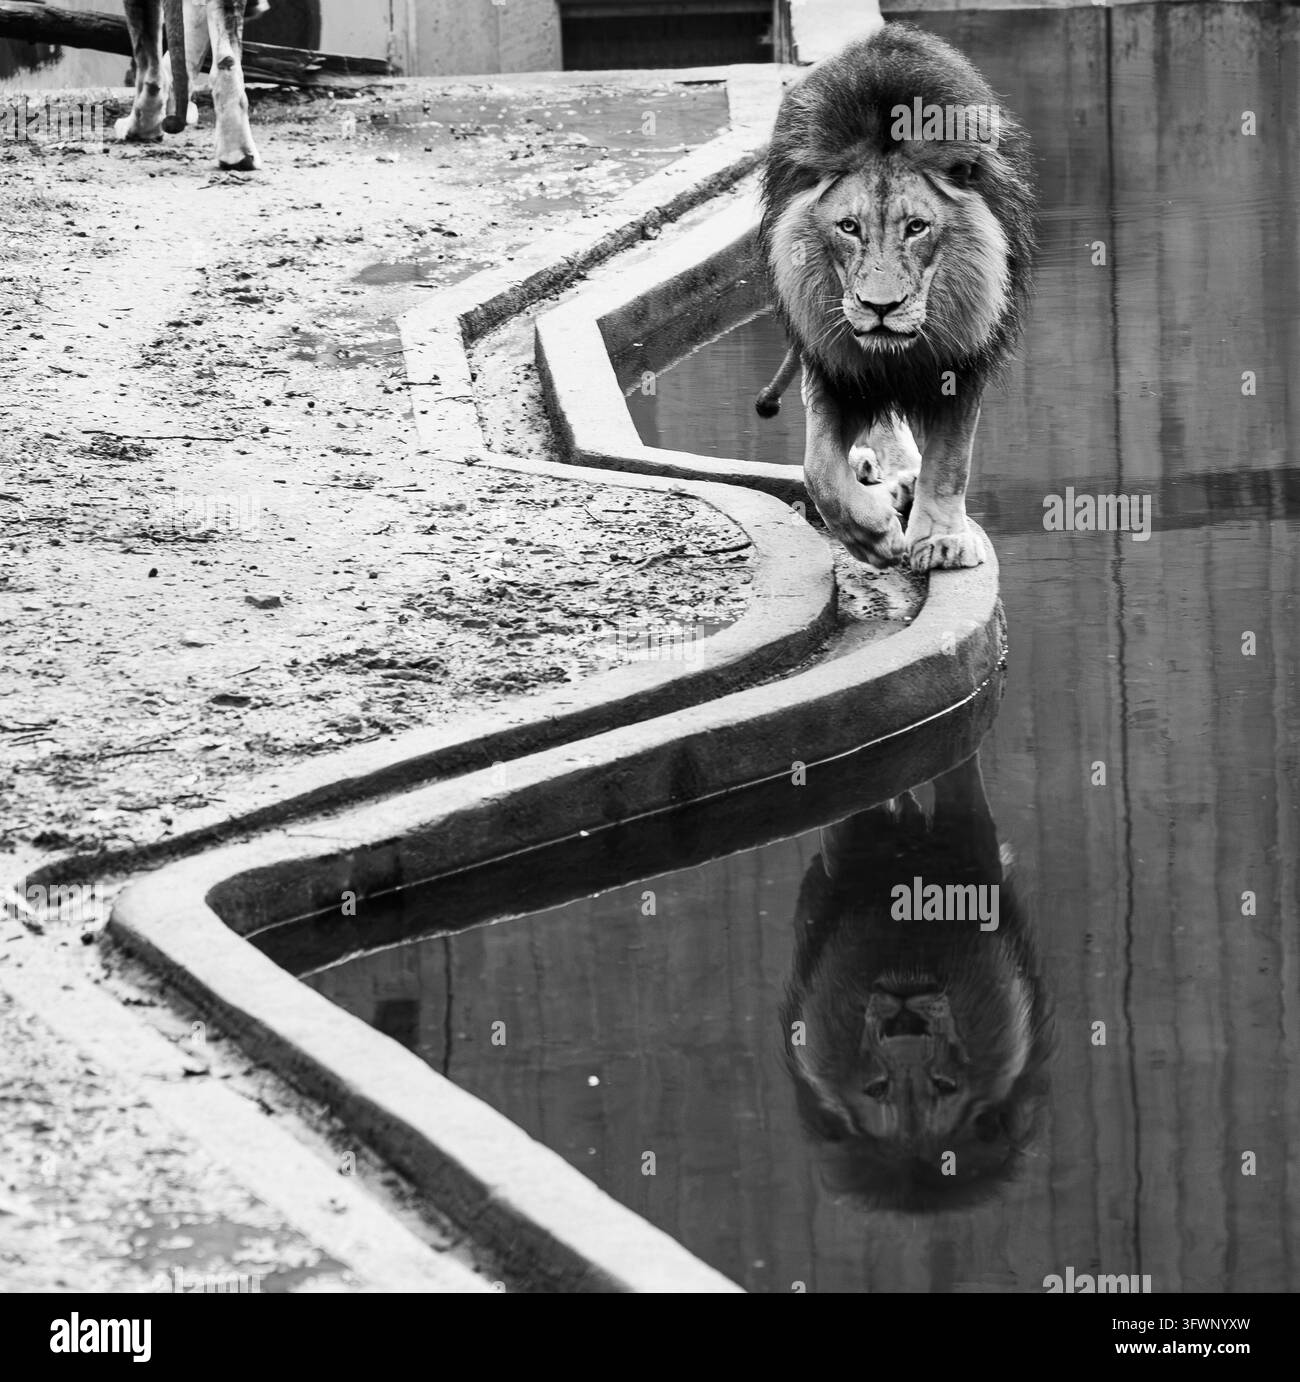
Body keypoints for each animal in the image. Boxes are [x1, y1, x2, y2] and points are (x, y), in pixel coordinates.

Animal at [758, 24, 1036, 570]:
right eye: (848, 227)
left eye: (916, 227)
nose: (879, 308)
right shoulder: (831, 361)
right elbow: (818, 467)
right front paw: (870, 534)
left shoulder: (964, 358)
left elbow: (951, 458)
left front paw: (940, 540)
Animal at [781, 752, 1054, 1212]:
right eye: (877, 1089)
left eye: (945, 1086)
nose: (905, 1034)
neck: (907, 947)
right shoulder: (849, 846)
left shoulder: (974, 846)